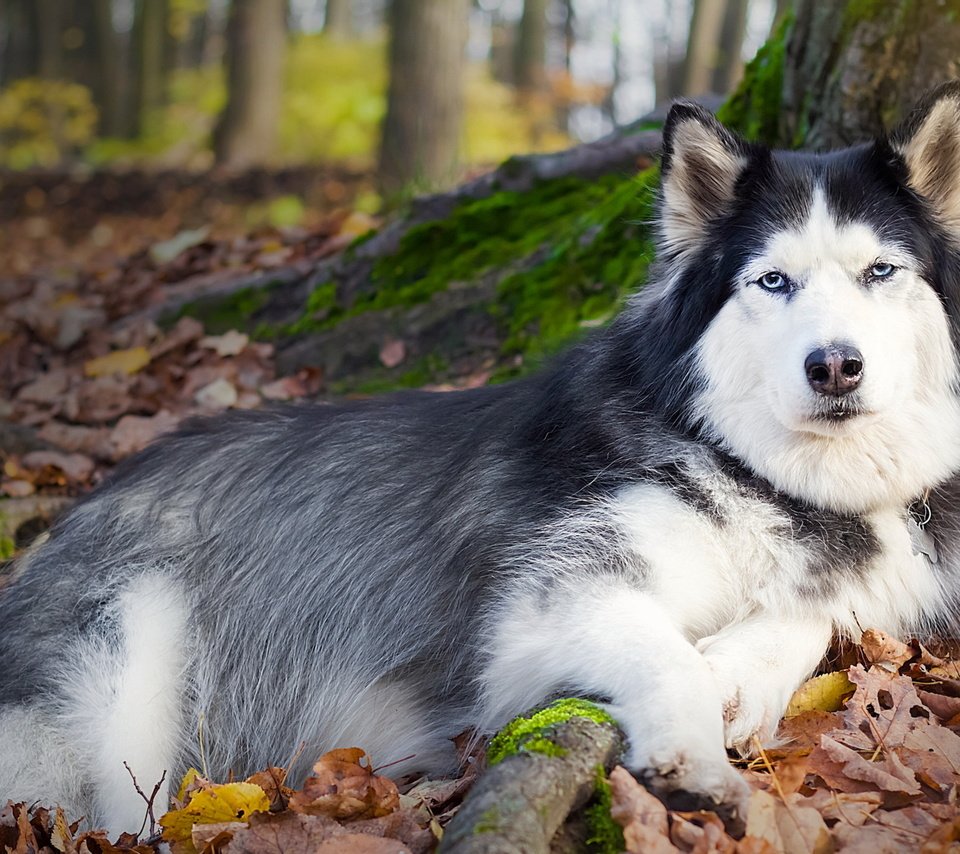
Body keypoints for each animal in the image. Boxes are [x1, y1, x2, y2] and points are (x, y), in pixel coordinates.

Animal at [5, 87, 960, 836]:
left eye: (881, 272)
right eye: (772, 282)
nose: (835, 366)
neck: (764, 472)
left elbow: (808, 617)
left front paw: (742, 671)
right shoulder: (543, 606)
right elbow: (666, 654)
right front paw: (695, 751)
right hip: (117, 682)